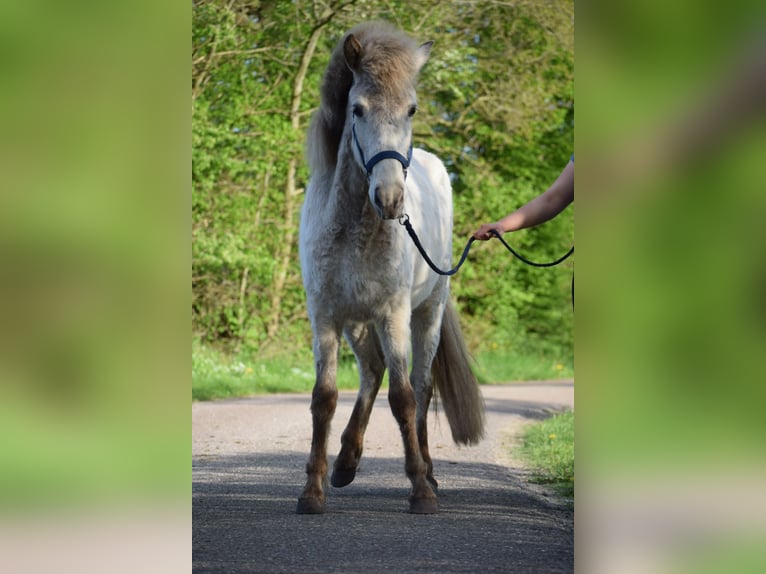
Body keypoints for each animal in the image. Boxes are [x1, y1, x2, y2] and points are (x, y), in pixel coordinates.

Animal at [296, 22, 484, 516]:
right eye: (357, 109)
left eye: (411, 108)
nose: (390, 198)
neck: (353, 228)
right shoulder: (326, 316)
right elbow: (324, 398)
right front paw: (313, 490)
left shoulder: (394, 315)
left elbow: (403, 399)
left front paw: (420, 490)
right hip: (359, 324)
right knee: (372, 372)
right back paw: (346, 463)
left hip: (424, 316)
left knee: (419, 386)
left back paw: (429, 473)